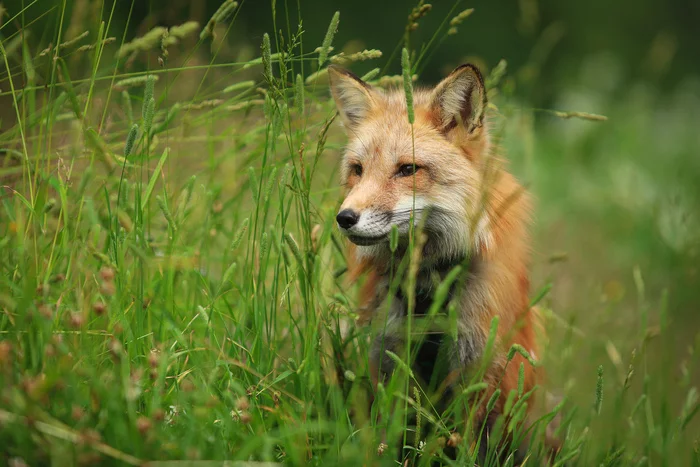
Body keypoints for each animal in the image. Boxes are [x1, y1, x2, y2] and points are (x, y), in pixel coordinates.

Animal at [330, 63, 564, 464]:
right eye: (358, 170)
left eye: (407, 169)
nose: (345, 218)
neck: (428, 285)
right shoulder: (387, 359)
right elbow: (389, 436)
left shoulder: (482, 372)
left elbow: (472, 447)